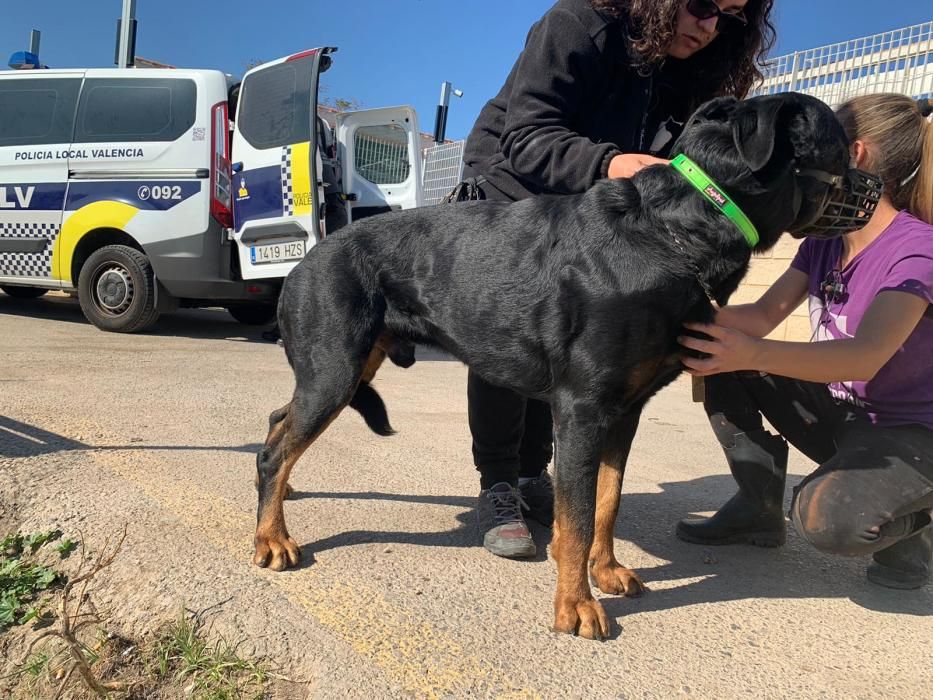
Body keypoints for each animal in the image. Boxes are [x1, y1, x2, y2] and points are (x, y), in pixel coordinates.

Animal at [253, 91, 868, 640]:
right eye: (843, 147)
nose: (878, 185)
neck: (673, 231)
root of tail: (305, 261)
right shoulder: (581, 410)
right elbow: (576, 518)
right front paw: (576, 604)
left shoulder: (624, 412)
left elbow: (606, 501)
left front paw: (605, 570)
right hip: (336, 369)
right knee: (276, 449)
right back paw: (271, 536)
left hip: (349, 365)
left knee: (279, 422)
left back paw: (281, 497)